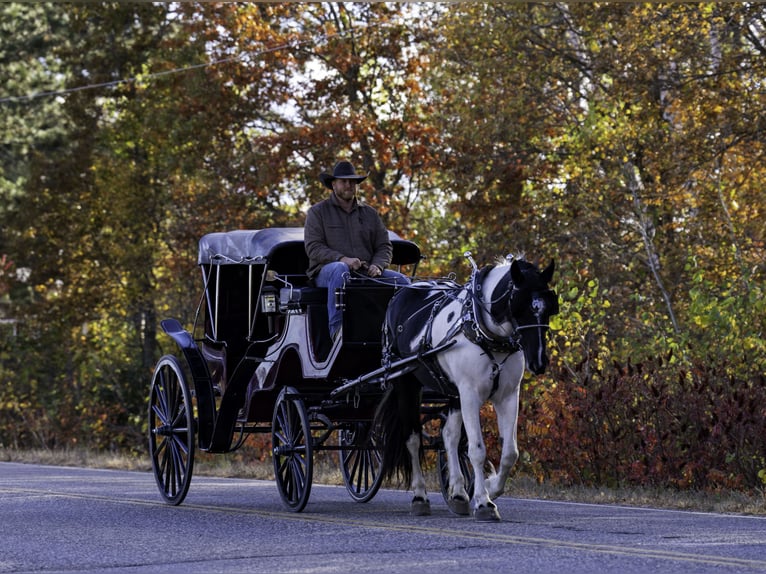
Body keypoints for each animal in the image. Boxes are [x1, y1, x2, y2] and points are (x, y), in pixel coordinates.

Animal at [376, 254, 560, 524]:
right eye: (519, 307)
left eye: (549, 308)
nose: (539, 362)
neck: (480, 328)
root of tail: (401, 294)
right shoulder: (470, 394)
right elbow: (476, 450)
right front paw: (484, 503)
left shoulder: (507, 396)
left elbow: (510, 452)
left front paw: (491, 488)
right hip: (407, 383)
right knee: (413, 440)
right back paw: (420, 497)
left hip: (452, 392)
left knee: (449, 436)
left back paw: (459, 494)